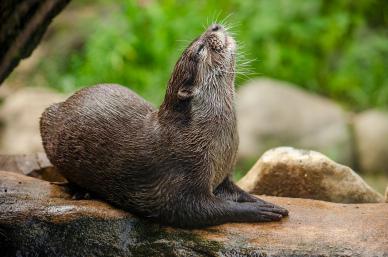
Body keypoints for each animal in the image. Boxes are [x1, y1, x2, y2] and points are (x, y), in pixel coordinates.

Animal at [40, 24, 288, 227]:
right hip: (47, 121)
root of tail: (62, 104)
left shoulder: (225, 173)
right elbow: (195, 210)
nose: (215, 27)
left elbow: (236, 191)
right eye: (199, 49)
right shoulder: (181, 174)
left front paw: (264, 201)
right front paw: (259, 209)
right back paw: (80, 191)